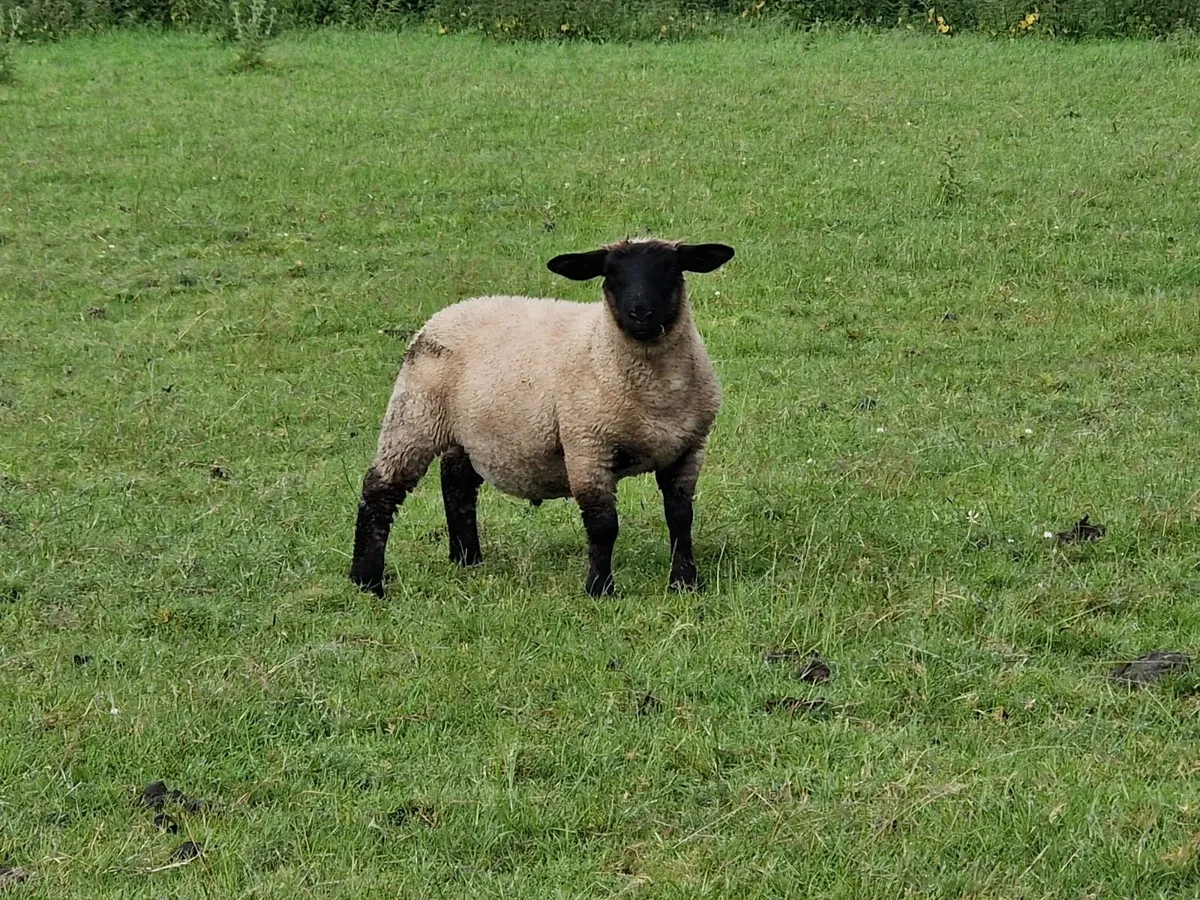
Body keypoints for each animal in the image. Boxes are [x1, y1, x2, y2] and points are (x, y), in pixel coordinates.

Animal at [348, 237, 735, 598]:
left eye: (671, 269)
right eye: (610, 274)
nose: (640, 313)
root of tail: (451, 310)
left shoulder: (688, 447)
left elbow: (680, 517)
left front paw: (685, 582)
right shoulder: (587, 445)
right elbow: (603, 525)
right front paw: (599, 589)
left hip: (472, 431)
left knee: (456, 484)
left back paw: (467, 558)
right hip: (414, 416)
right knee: (380, 490)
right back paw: (366, 580)